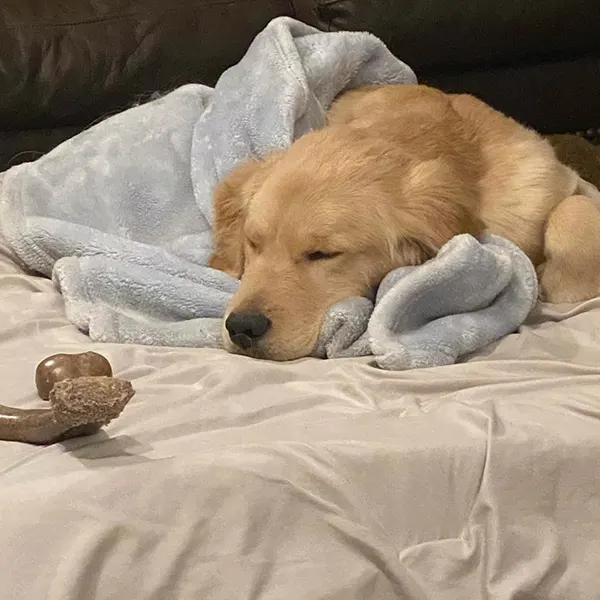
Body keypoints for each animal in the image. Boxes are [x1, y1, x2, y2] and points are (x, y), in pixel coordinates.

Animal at [209, 84, 600, 360]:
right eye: (253, 243)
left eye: (323, 254)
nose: (242, 327)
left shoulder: (552, 181)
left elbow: (574, 211)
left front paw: (566, 286)